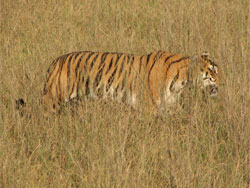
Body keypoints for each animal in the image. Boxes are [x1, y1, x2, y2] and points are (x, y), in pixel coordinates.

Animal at [38, 50, 219, 111]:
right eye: (212, 71)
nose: (220, 84)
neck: (181, 81)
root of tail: (55, 62)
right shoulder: (149, 108)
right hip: (52, 100)